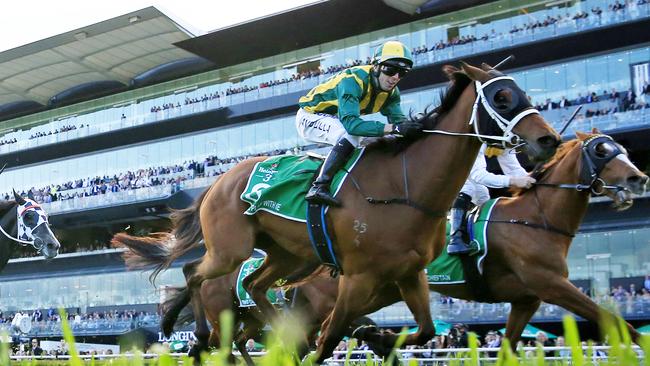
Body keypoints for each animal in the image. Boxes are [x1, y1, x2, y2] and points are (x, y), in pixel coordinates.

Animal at [111, 62, 556, 360]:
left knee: (253, 286)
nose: (547, 140)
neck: (406, 187)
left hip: (286, 253)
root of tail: (216, 184)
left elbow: (426, 329)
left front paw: (379, 339)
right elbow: (328, 341)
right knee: (193, 273)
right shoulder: (357, 278)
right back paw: (204, 335)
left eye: (521, 92)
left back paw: (278, 331)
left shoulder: (409, 274)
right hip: (230, 249)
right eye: (502, 97)